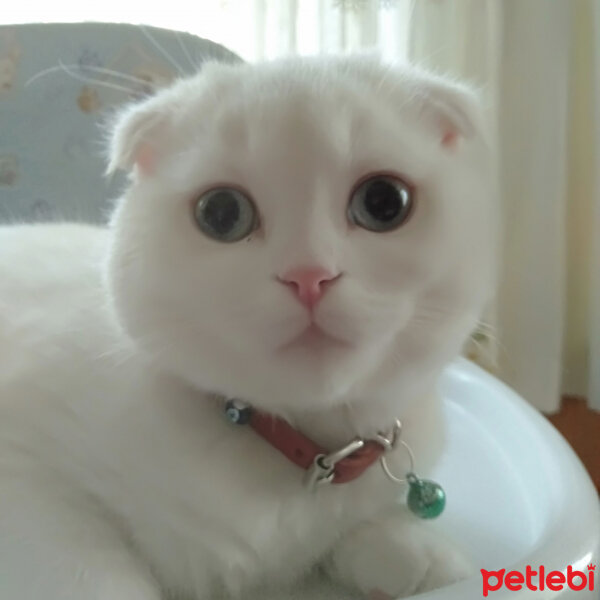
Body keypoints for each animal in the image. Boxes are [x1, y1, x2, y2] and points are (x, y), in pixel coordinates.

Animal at [0, 56, 496, 600]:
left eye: (384, 201)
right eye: (221, 213)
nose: (308, 275)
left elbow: (366, 530)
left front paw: (430, 559)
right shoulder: (25, 475)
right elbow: (93, 577)